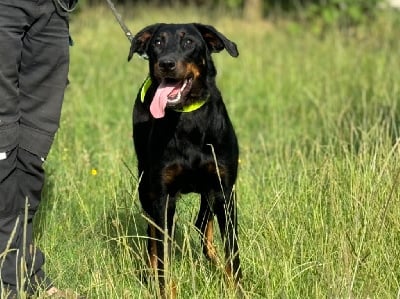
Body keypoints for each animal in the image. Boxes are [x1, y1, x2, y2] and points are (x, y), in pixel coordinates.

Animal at [128, 23, 241, 296]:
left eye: (189, 42)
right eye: (157, 43)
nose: (166, 63)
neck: (188, 119)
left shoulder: (223, 189)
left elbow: (233, 251)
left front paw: (237, 288)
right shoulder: (162, 197)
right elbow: (162, 255)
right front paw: (164, 291)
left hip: (209, 193)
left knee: (202, 225)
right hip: (145, 185)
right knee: (152, 236)